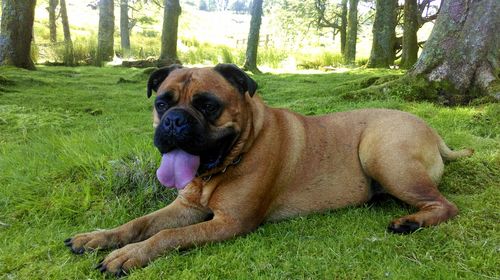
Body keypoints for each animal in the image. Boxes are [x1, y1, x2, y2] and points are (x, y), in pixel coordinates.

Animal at [64, 63, 474, 276]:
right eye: (162, 103)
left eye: (208, 105)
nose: (175, 121)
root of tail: (433, 132)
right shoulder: (185, 208)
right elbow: (140, 223)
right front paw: (99, 237)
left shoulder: (229, 222)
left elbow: (167, 236)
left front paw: (130, 255)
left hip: (384, 155)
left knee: (446, 205)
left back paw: (411, 221)